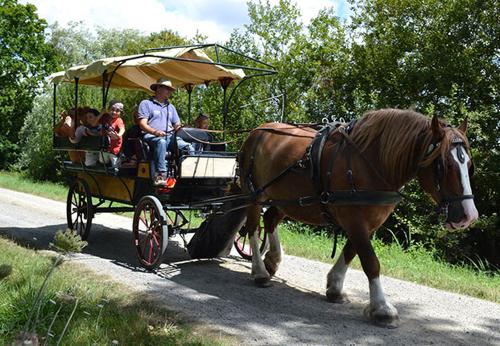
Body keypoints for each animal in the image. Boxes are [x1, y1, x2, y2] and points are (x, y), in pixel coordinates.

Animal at [239, 108, 480, 328]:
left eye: (469, 165)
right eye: (444, 165)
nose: (468, 216)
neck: (370, 163)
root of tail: (258, 130)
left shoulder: (370, 222)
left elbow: (351, 251)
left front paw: (335, 287)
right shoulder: (354, 219)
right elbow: (370, 262)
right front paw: (382, 308)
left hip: (287, 199)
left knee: (270, 220)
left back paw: (272, 259)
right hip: (254, 194)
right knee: (252, 228)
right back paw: (260, 271)